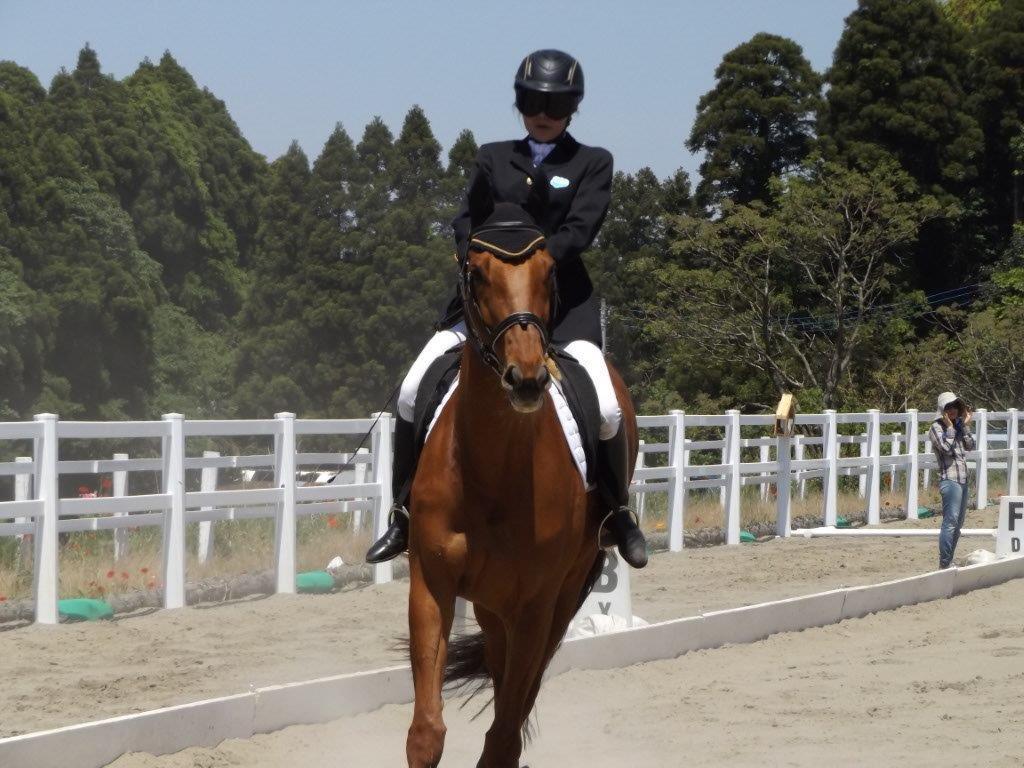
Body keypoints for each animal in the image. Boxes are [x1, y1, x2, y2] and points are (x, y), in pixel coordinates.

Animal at [402, 179, 639, 767]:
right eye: (476, 271)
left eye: (549, 271)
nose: (527, 378)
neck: (491, 469)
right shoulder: (433, 582)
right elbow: (426, 732)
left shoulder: (535, 605)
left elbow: (504, 734)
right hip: (491, 604)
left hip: (561, 596)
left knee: (520, 695)